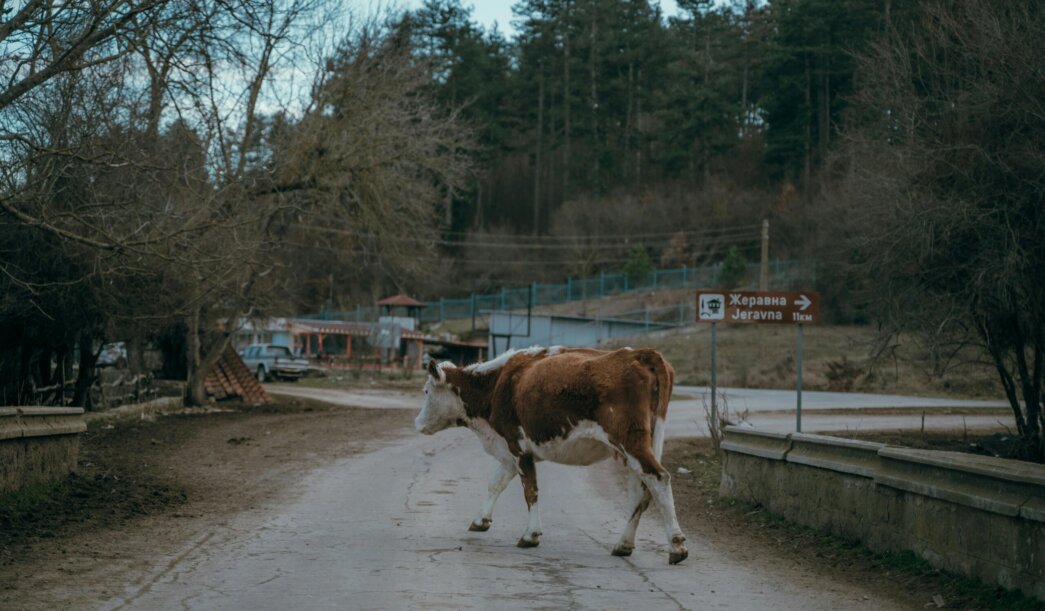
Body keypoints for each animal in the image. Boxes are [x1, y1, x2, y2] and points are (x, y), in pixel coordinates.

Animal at [414, 346, 688, 565]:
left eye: (426, 391)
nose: (417, 423)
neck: (498, 383)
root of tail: (639, 353)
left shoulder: (518, 447)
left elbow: (530, 491)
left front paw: (530, 535)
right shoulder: (509, 450)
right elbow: (495, 483)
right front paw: (481, 520)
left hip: (631, 441)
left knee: (658, 478)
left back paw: (676, 545)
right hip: (637, 447)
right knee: (641, 491)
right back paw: (624, 544)